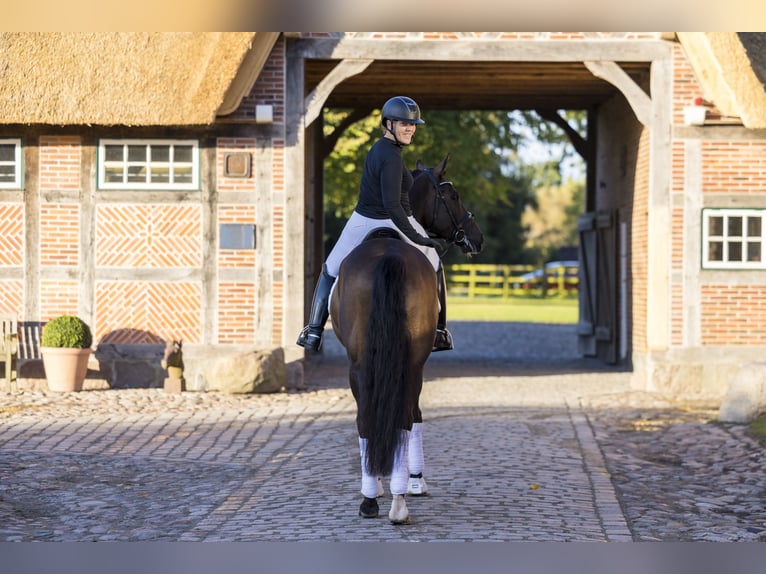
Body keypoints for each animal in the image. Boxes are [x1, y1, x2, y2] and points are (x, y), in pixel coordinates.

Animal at [332, 155, 486, 524]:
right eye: (454, 195)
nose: (478, 239)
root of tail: (388, 254)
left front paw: (381, 483)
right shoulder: (418, 362)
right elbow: (415, 415)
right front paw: (416, 482)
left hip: (361, 363)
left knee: (366, 418)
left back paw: (372, 497)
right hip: (411, 363)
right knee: (405, 417)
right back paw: (399, 501)